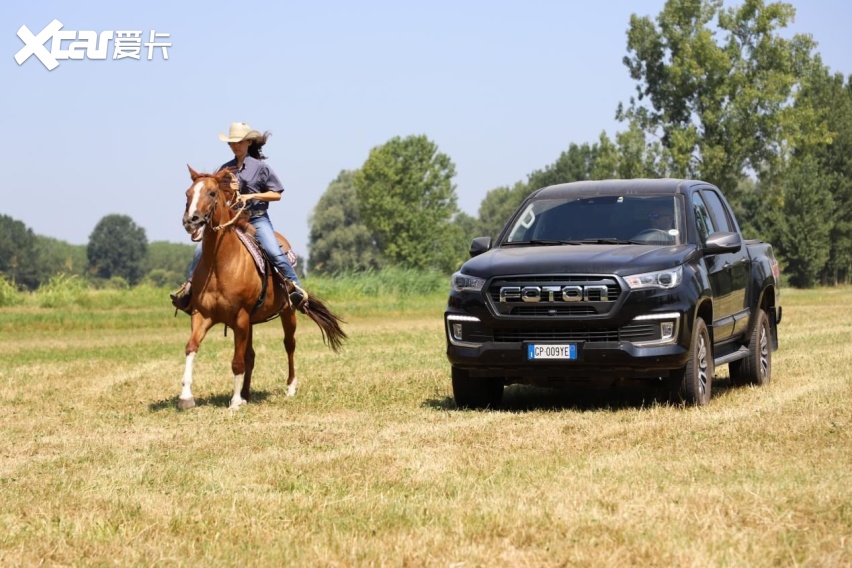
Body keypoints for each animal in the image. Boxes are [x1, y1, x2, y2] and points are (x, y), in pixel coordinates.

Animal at [178, 166, 344, 410]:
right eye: (188, 193)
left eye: (211, 193)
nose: (191, 220)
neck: (220, 264)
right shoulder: (202, 315)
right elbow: (192, 347)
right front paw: (186, 397)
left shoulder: (240, 317)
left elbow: (237, 362)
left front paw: (234, 403)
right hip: (251, 322)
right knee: (251, 355)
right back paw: (246, 393)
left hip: (287, 312)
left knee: (289, 345)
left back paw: (290, 387)